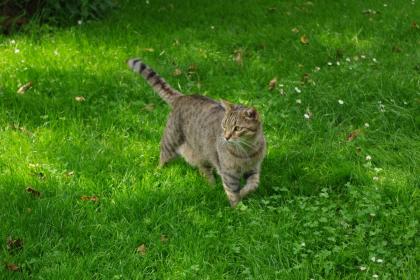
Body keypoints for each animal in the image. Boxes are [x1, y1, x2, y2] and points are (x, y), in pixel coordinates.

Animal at [127, 58, 266, 208]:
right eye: (224, 126)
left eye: (237, 128)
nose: (226, 137)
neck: (247, 150)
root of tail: (182, 97)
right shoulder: (229, 173)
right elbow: (233, 192)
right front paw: (238, 207)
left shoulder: (254, 168)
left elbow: (254, 184)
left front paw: (244, 193)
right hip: (171, 141)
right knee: (163, 158)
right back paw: (159, 172)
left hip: (201, 151)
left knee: (203, 168)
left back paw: (211, 185)